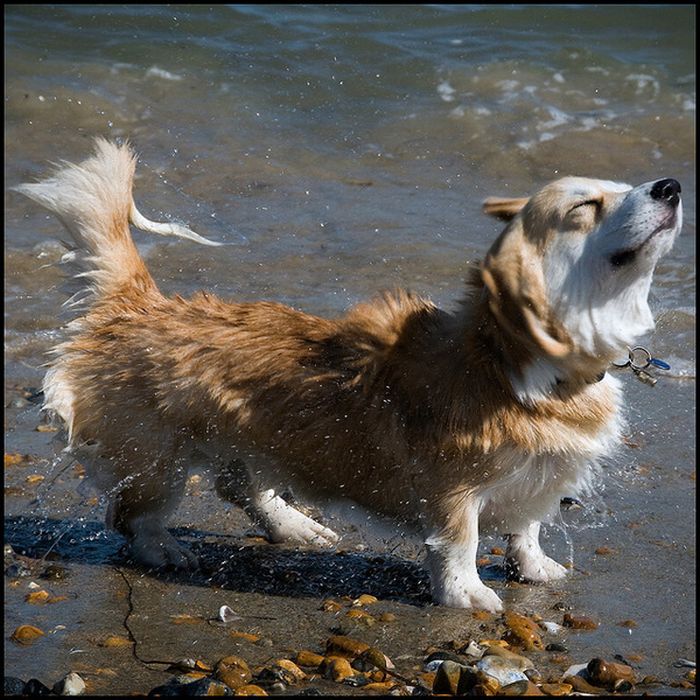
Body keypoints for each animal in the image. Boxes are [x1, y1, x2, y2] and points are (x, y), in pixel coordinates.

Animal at [16, 139, 680, 608]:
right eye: (585, 207)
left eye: (625, 187)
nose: (672, 185)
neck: (525, 364)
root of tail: (138, 304)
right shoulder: (452, 488)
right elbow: (461, 541)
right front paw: (468, 595)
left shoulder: (541, 477)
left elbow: (528, 528)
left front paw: (536, 568)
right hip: (158, 461)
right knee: (131, 516)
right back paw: (168, 550)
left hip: (246, 436)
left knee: (238, 485)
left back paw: (296, 526)